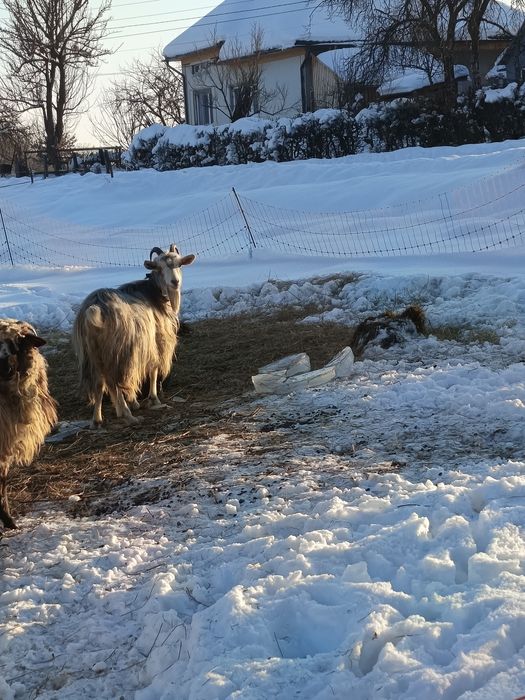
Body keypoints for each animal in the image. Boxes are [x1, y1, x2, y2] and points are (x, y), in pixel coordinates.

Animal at [72, 244, 195, 428]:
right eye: (159, 268)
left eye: (179, 264)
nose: (175, 282)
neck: (155, 294)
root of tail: (95, 309)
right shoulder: (157, 341)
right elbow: (153, 370)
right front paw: (153, 399)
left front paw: (136, 402)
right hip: (119, 352)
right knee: (114, 382)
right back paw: (128, 415)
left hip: (92, 354)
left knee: (99, 383)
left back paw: (97, 420)